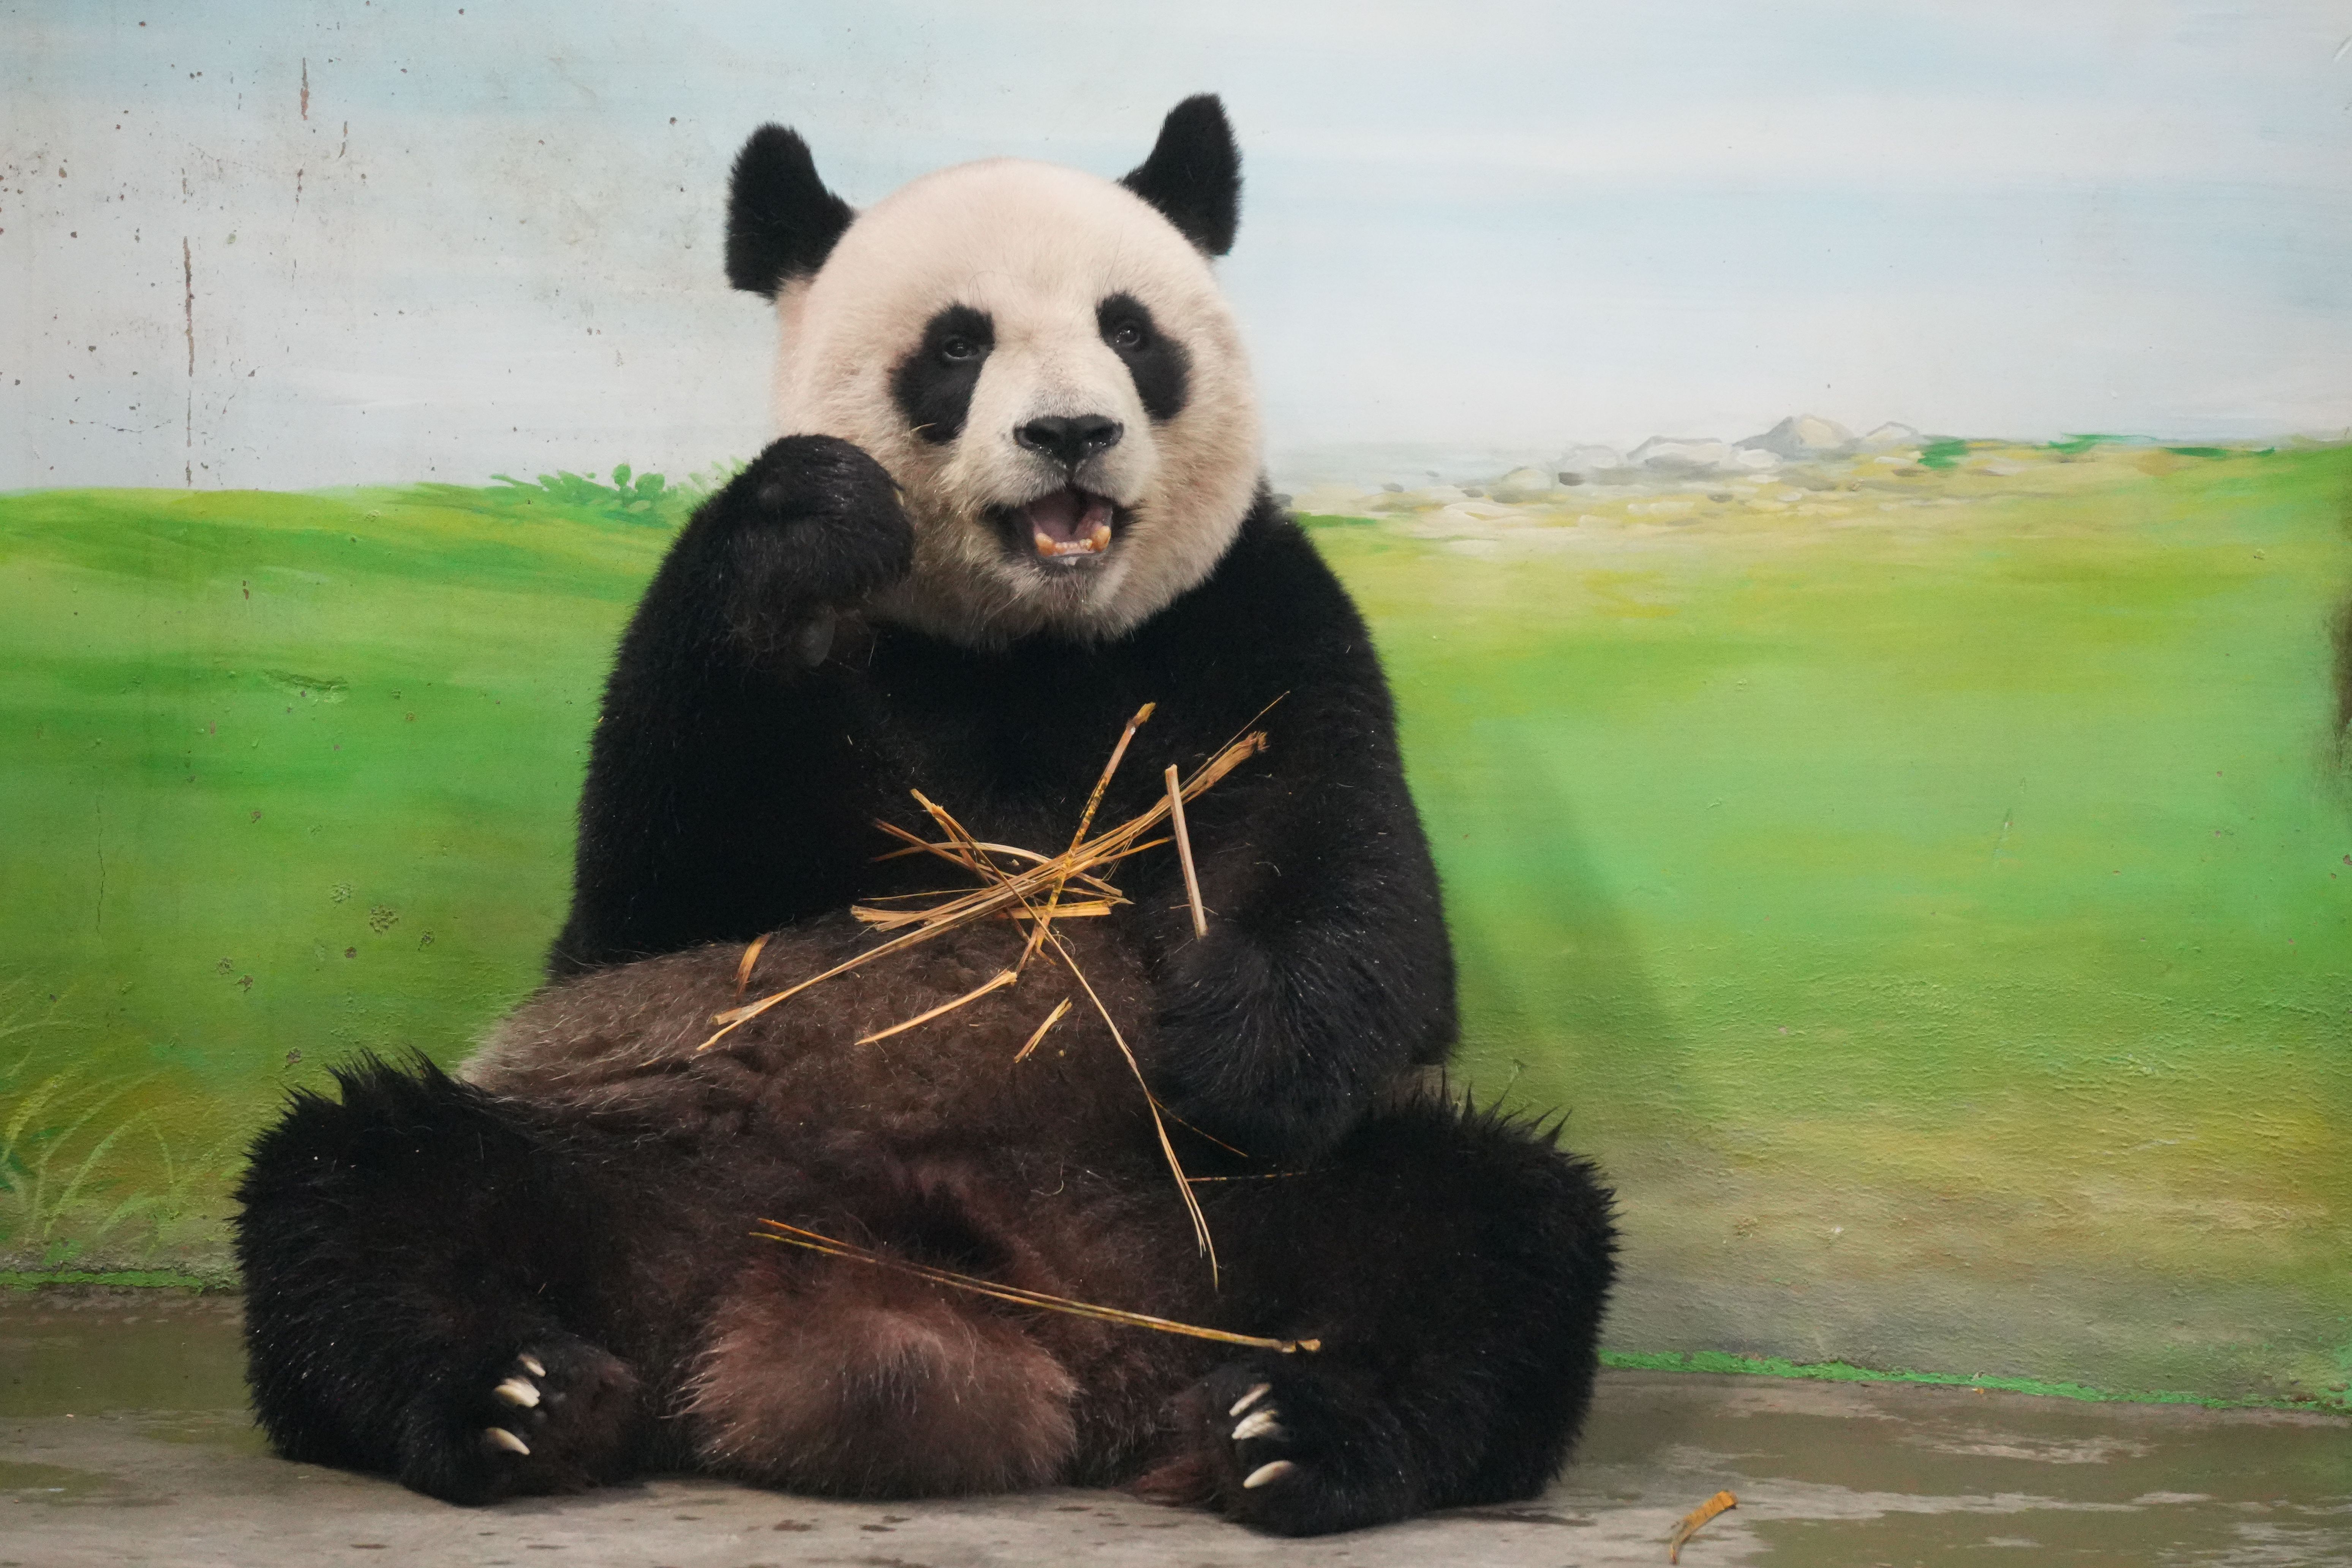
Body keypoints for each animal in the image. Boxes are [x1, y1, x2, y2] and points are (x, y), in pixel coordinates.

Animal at [234, 96, 1618, 1537]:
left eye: (1132, 332)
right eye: (959, 345)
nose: (1071, 432)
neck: (1025, 644)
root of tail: (914, 1304)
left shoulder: (1250, 615)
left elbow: (1349, 867)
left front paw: (1252, 1050)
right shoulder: (761, 730)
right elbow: (662, 881)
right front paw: (808, 521)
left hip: (1208, 1214)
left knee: (1487, 1236)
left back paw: (1291, 1427)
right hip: (631, 1151)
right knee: (357, 1189)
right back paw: (516, 1397)